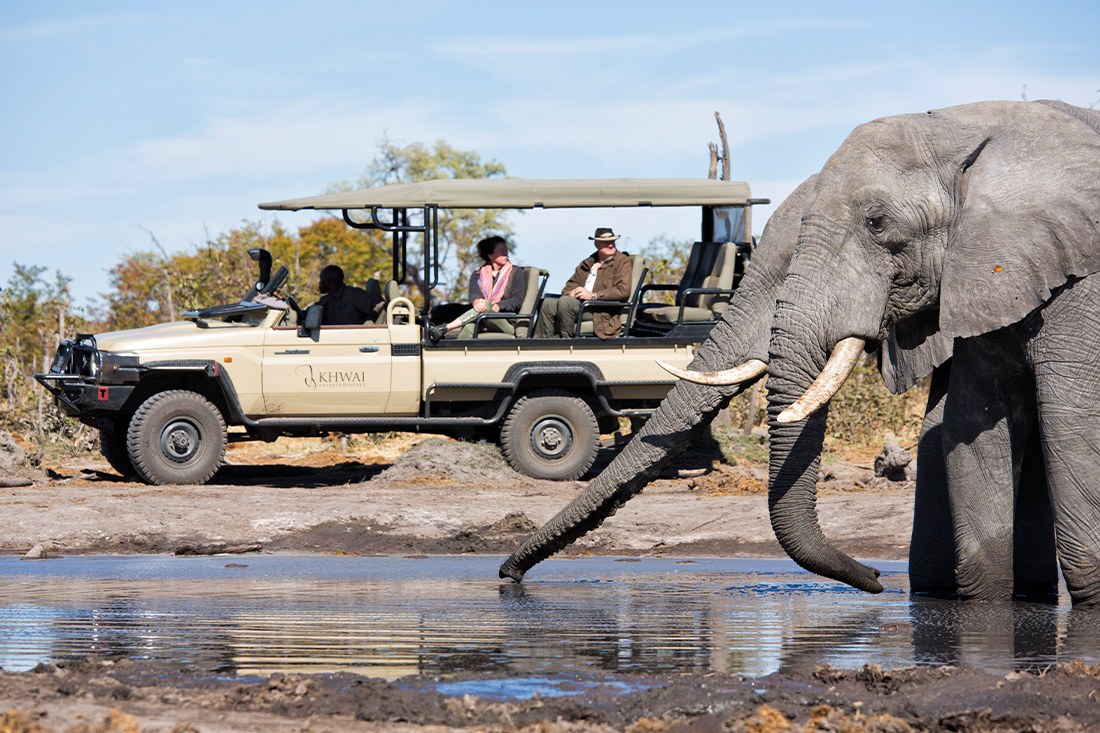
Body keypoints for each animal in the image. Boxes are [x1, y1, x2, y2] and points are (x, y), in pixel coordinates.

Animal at [748, 99, 1100, 604]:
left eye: (876, 223)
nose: (876, 575)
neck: (963, 127)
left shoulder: (1080, 286)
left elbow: (1073, 424)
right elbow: (970, 424)